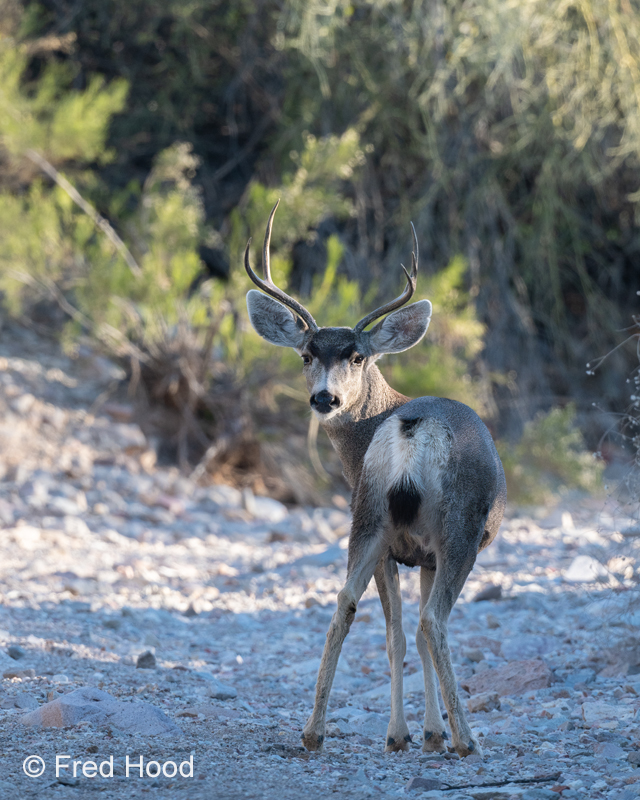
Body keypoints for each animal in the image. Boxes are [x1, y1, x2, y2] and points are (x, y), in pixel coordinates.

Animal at [244, 201, 506, 758]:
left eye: (356, 356)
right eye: (306, 355)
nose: (325, 397)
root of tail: (410, 429)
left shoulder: (410, 552)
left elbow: (397, 636)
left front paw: (417, 733)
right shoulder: (430, 549)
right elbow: (417, 631)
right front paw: (431, 733)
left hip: (368, 516)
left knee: (347, 603)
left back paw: (314, 731)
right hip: (458, 527)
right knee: (433, 620)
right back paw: (466, 738)